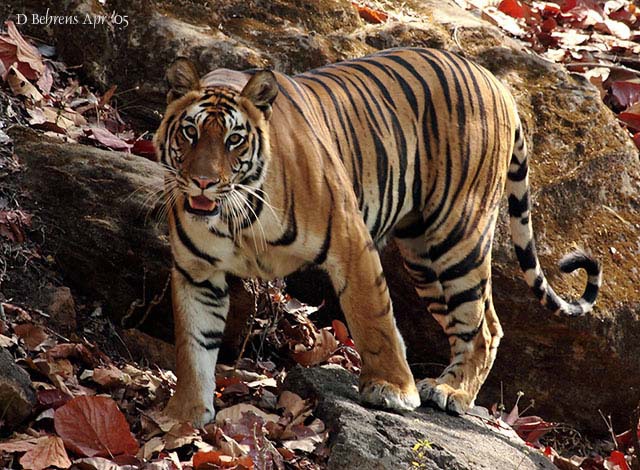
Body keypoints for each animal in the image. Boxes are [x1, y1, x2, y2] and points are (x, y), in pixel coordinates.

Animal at [152, 47, 604, 426]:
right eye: (190, 133)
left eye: (234, 139)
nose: (203, 182)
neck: (236, 217)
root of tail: (499, 84)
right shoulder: (195, 273)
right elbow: (193, 345)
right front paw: (184, 415)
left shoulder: (351, 241)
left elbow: (374, 318)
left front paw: (392, 389)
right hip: (424, 259)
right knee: (479, 321)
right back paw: (448, 384)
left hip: (459, 236)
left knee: (485, 327)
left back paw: (451, 390)